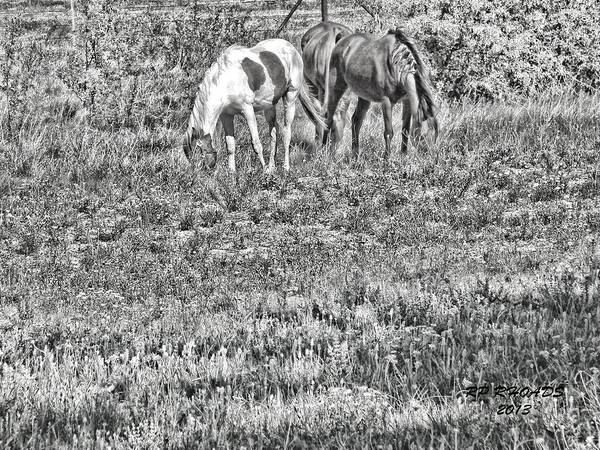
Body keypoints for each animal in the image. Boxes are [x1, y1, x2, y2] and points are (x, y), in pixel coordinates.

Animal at [183, 38, 326, 172]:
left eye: (199, 154)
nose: (198, 174)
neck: (227, 80)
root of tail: (292, 49)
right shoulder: (226, 115)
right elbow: (230, 145)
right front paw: (232, 172)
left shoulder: (247, 110)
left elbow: (256, 143)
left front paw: (264, 170)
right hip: (269, 106)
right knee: (274, 132)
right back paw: (272, 167)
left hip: (290, 98)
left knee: (286, 133)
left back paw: (285, 167)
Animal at [324, 29, 440, 159]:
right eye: (424, 136)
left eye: (436, 133)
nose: (431, 157)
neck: (396, 65)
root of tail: (342, 40)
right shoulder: (387, 102)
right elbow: (388, 133)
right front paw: (387, 159)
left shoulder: (407, 101)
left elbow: (405, 130)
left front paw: (403, 155)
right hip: (336, 88)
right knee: (328, 118)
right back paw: (323, 150)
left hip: (364, 97)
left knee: (356, 121)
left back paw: (355, 155)